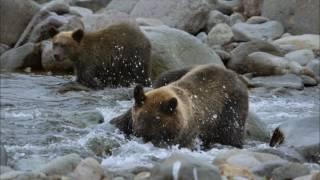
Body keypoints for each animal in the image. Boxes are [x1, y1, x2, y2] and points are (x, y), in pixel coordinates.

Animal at [111, 64, 249, 148]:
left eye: (157, 120)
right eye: (140, 117)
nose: (143, 134)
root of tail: (236, 76)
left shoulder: (187, 132)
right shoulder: (129, 118)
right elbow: (117, 123)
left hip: (231, 107)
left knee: (231, 131)